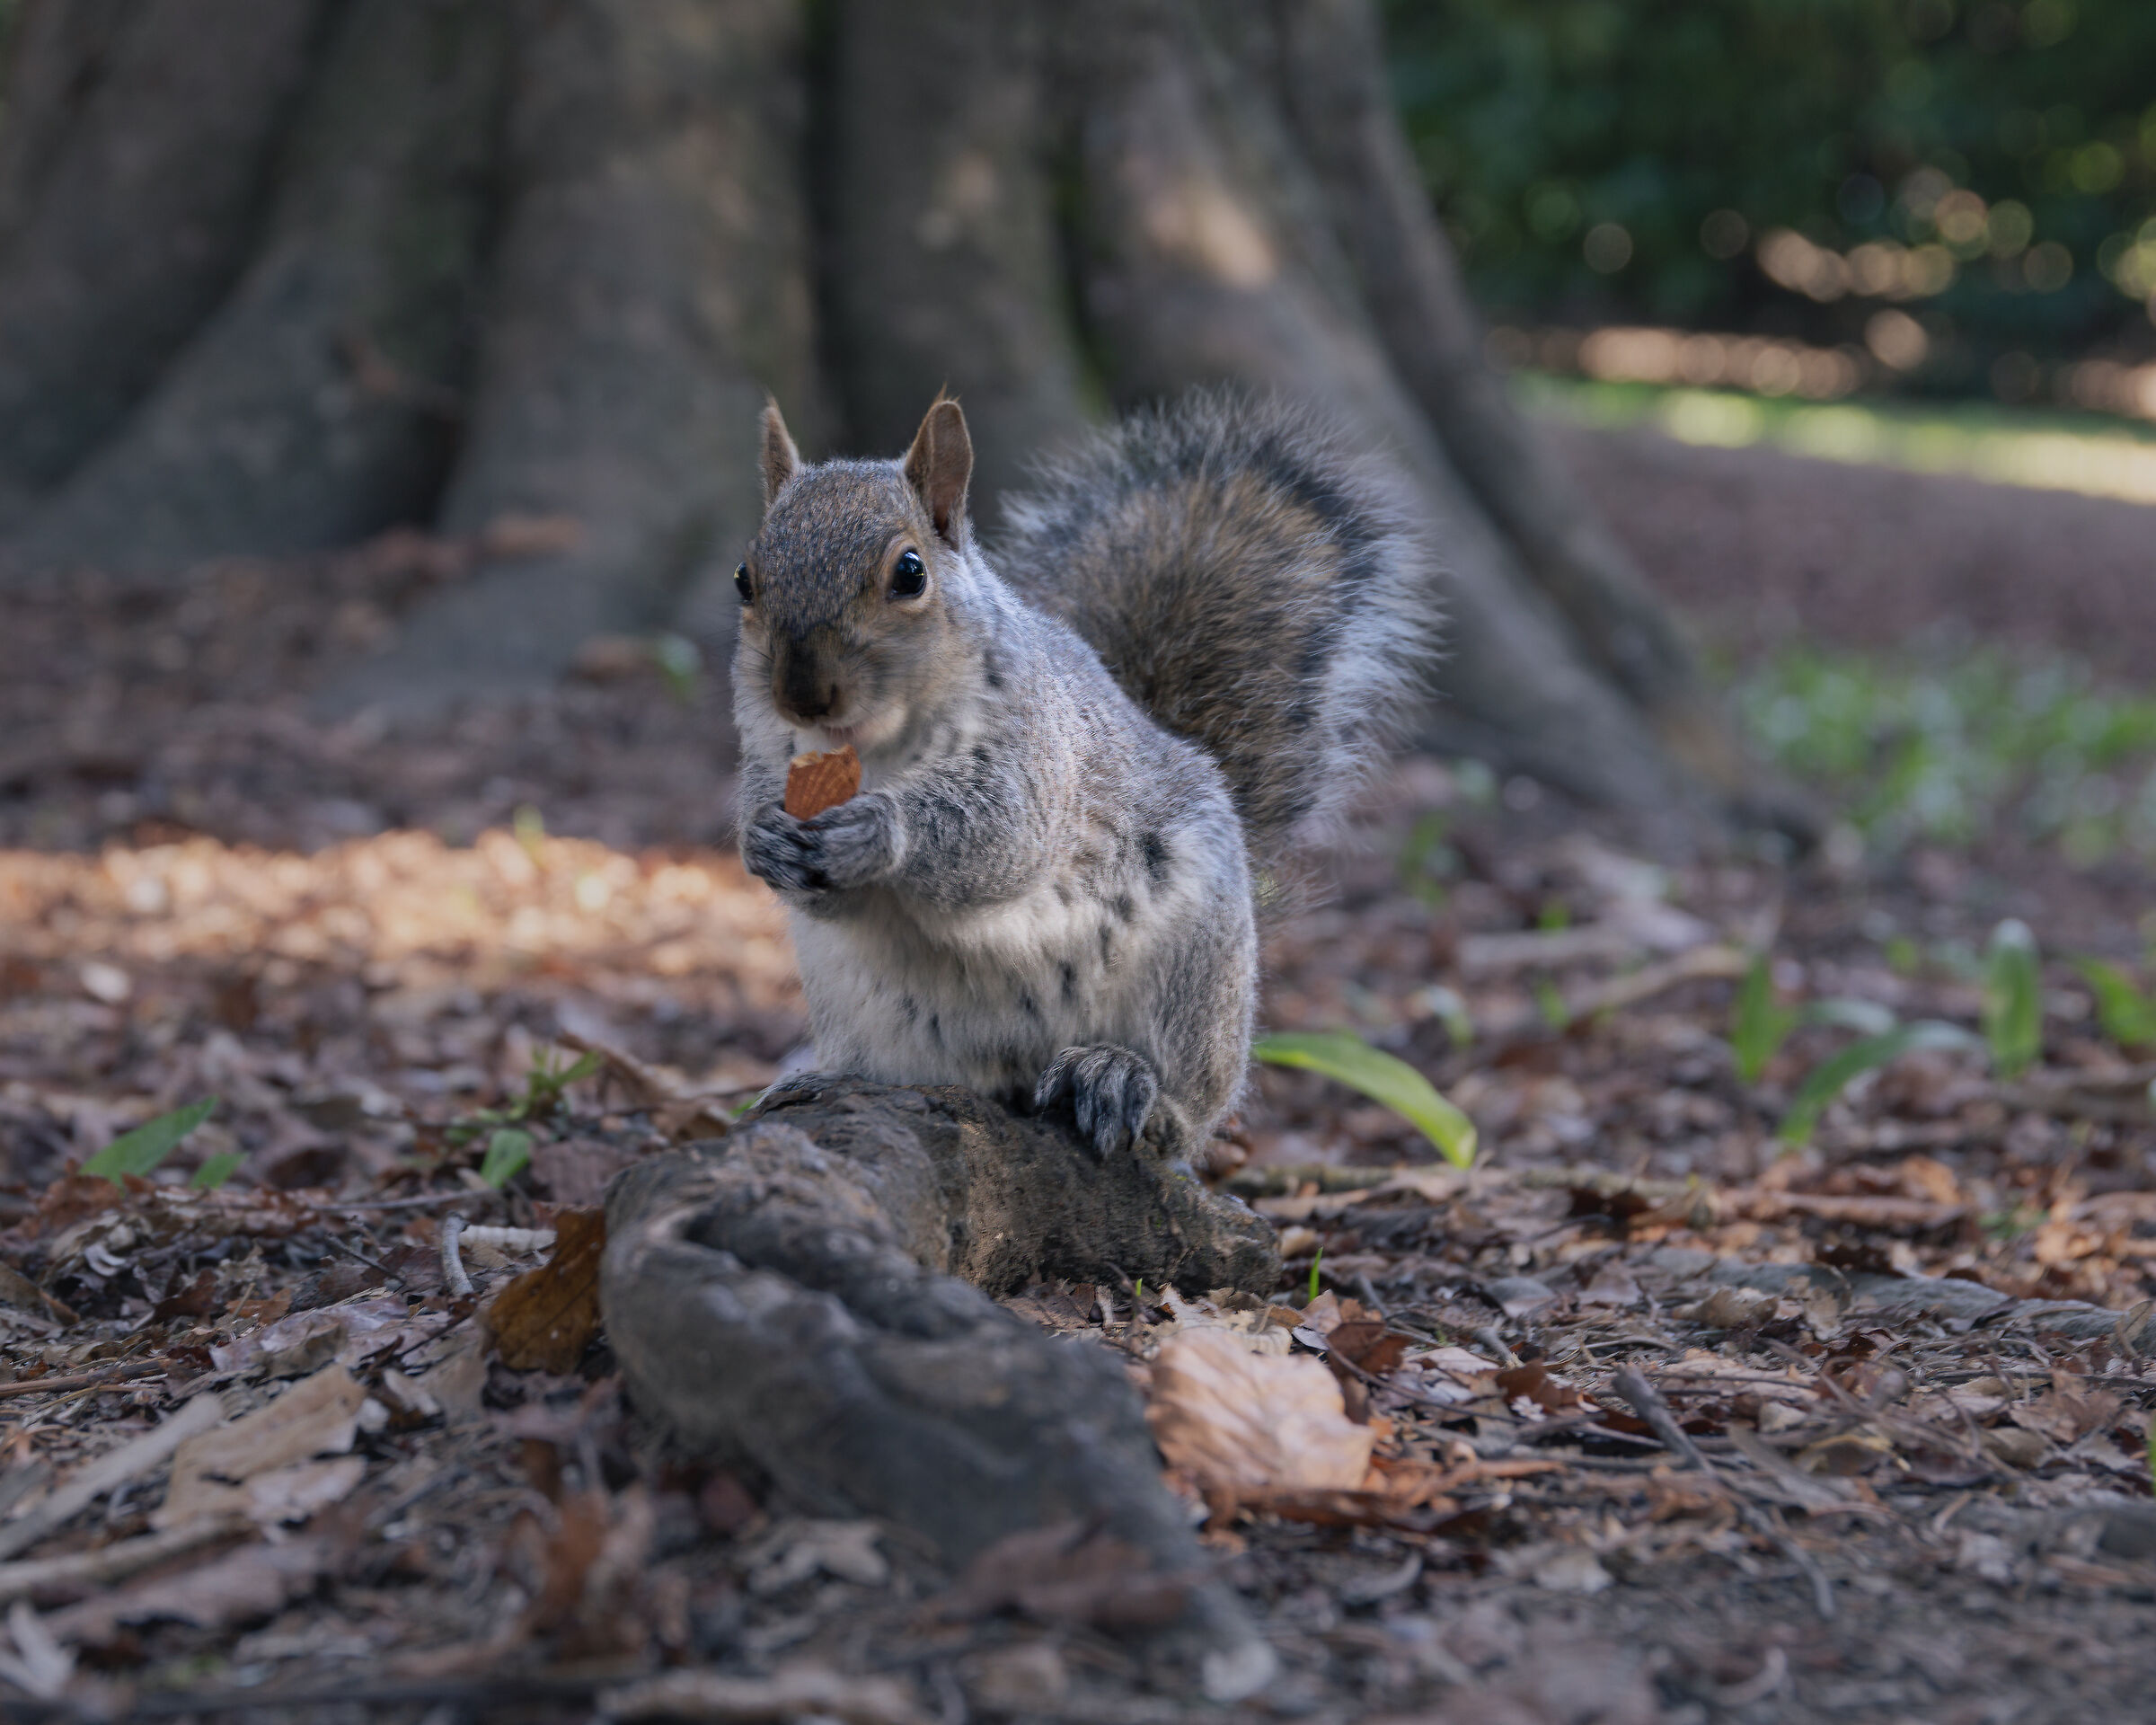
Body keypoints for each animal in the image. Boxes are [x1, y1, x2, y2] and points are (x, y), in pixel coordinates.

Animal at [733, 389, 1436, 1161]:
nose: (803, 694)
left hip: (1195, 972)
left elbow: (1002, 836)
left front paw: (875, 830)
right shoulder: (771, 755)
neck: (871, 750)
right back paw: (828, 1079)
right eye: (745, 580)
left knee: (1190, 1106)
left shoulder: (1041, 753)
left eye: (910, 573)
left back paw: (1126, 1082)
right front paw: (764, 842)